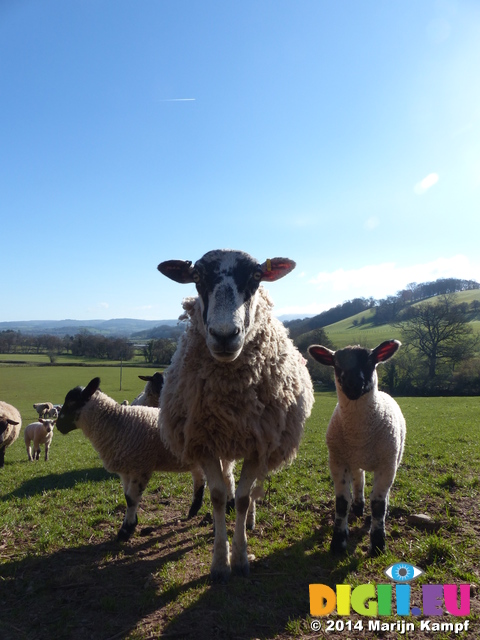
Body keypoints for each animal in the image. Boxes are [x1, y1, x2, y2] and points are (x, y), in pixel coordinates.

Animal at [54, 378, 208, 544]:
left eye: (71, 403)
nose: (58, 426)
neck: (118, 425)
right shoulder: (126, 470)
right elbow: (127, 497)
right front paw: (132, 524)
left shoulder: (140, 467)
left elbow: (131, 499)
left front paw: (125, 531)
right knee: (199, 479)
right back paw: (194, 509)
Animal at [158, 249, 316, 580]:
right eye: (197, 277)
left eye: (256, 276)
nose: (224, 335)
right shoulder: (204, 440)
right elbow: (218, 495)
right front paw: (220, 561)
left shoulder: (259, 444)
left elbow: (244, 498)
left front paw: (241, 558)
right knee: (228, 479)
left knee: (251, 491)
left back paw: (251, 519)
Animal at [308, 340, 404, 556]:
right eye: (336, 364)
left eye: (370, 361)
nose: (352, 384)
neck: (359, 435)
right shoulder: (337, 461)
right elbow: (342, 502)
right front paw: (338, 542)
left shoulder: (386, 464)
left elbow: (378, 504)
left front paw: (378, 543)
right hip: (354, 460)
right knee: (359, 479)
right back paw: (359, 506)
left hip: (394, 457)